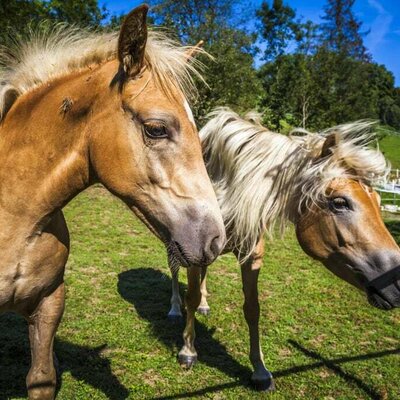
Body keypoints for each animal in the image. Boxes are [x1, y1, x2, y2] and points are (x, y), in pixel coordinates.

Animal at [168, 107, 400, 390]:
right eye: (340, 202)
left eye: (378, 201)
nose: (397, 281)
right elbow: (189, 296)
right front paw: (188, 351)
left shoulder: (252, 256)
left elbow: (252, 308)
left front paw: (260, 370)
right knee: (174, 271)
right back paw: (174, 308)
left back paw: (204, 304)